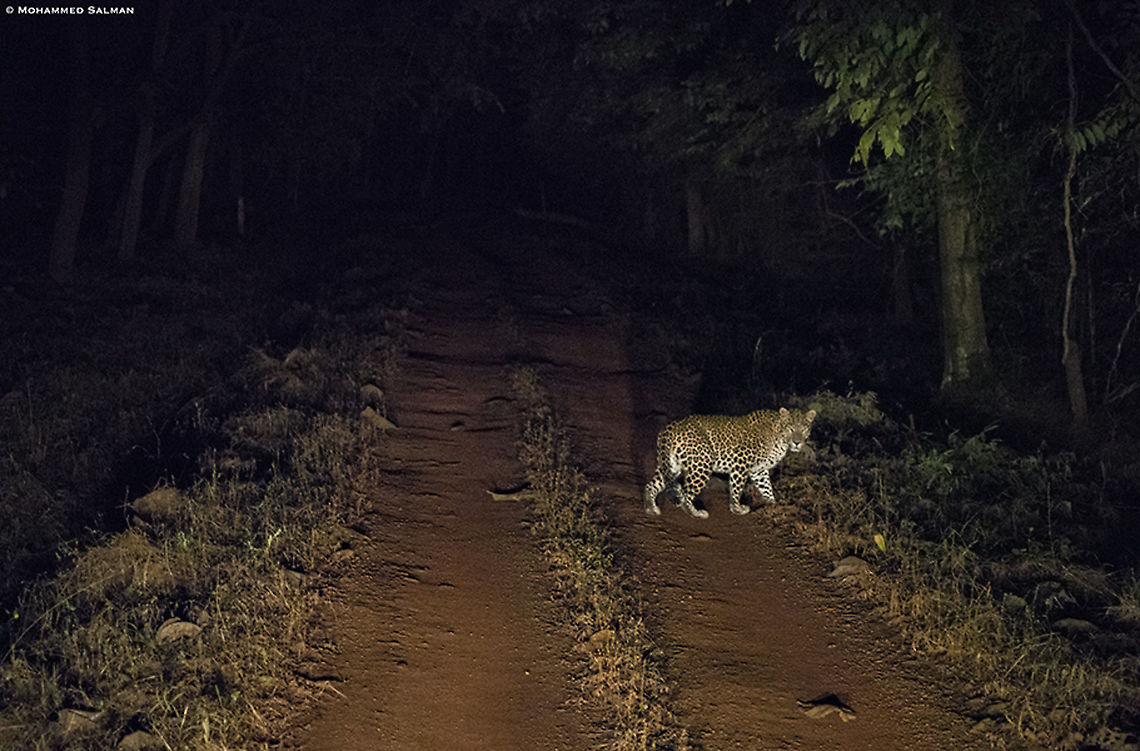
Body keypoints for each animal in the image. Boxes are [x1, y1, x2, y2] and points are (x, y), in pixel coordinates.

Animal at [644, 406, 816, 518]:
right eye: (791, 428)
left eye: (804, 429)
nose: (797, 443)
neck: (779, 437)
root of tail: (669, 428)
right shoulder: (741, 462)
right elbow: (736, 488)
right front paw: (737, 509)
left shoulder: (758, 470)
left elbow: (767, 488)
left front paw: (773, 506)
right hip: (703, 463)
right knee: (686, 494)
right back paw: (696, 513)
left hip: (672, 465)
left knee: (651, 485)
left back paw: (651, 509)